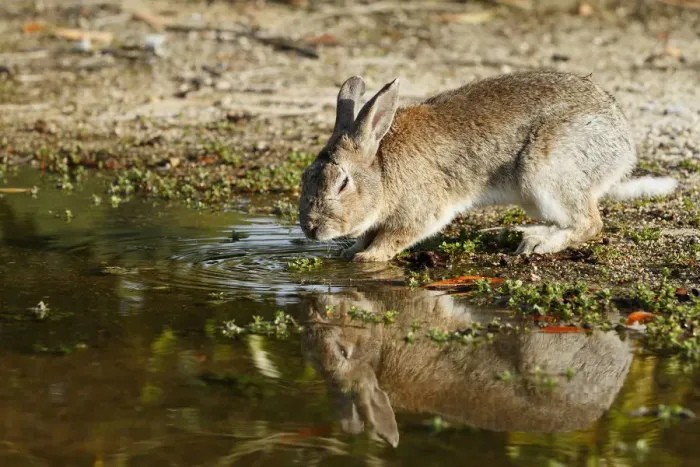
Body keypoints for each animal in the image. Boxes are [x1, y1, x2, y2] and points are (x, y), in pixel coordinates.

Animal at [298, 71, 678, 262]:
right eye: (306, 177)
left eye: (342, 183)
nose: (311, 230)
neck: (381, 168)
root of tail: (623, 149)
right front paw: (353, 250)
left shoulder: (421, 210)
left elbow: (397, 236)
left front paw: (367, 259)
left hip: (545, 172)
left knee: (590, 223)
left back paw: (538, 244)